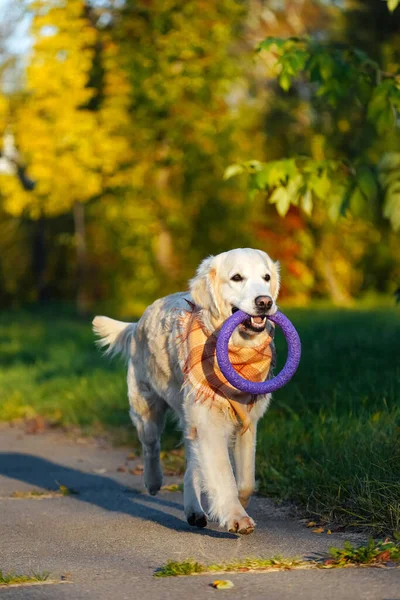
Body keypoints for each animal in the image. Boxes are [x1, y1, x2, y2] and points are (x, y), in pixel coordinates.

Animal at [94, 248, 282, 536]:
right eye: (236, 278)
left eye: (266, 277)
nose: (264, 301)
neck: (237, 350)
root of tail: (137, 323)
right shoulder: (208, 420)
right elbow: (223, 473)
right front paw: (236, 516)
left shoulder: (247, 420)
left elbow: (246, 479)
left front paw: (238, 502)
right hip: (146, 408)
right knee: (151, 445)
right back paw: (153, 481)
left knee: (191, 463)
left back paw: (194, 510)